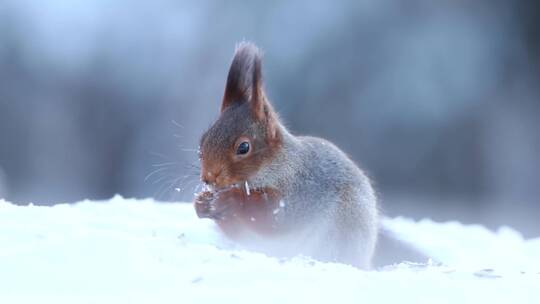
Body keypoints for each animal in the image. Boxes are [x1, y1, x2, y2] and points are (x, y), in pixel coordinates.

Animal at [195, 42, 380, 268]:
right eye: (202, 140)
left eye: (244, 147)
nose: (208, 178)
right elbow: (237, 230)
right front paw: (201, 203)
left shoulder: (299, 192)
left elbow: (273, 218)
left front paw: (232, 199)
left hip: (346, 224)